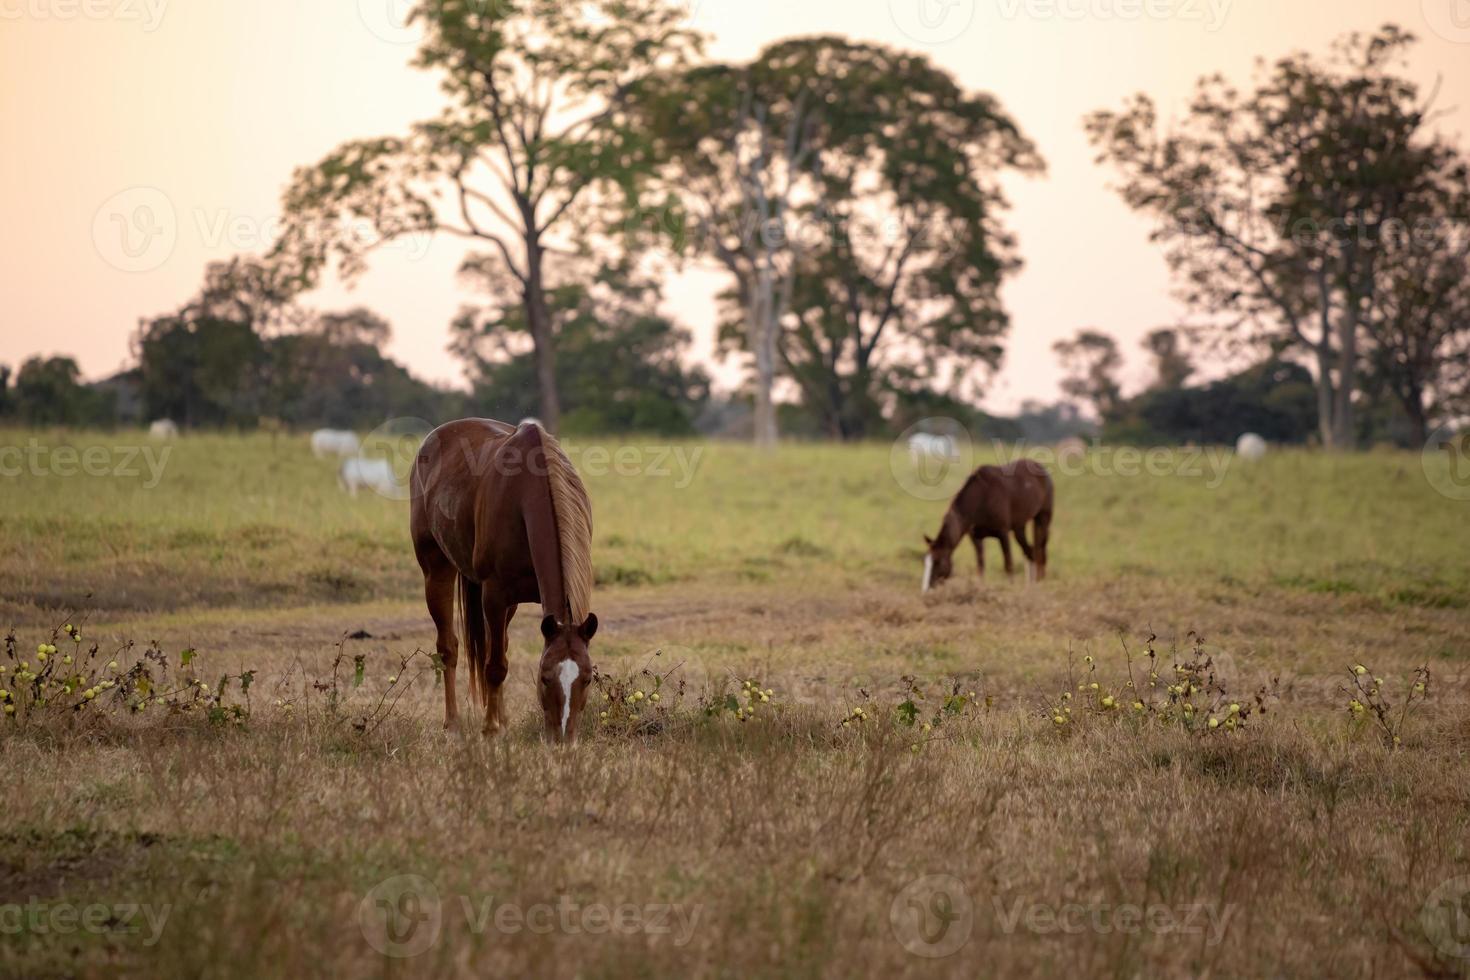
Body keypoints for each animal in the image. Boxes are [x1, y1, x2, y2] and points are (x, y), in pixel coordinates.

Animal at [408, 417, 596, 743]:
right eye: (544, 678)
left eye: (587, 679)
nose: (562, 739)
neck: (527, 494)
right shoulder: (494, 595)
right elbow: (494, 666)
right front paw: (490, 729)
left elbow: (500, 656)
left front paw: (500, 723)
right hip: (436, 570)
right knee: (449, 649)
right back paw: (453, 724)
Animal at [923, 461, 1052, 590]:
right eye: (926, 562)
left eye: (938, 562)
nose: (926, 589)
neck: (981, 498)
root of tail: (1041, 468)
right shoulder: (976, 538)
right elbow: (980, 566)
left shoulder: (1003, 533)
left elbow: (1008, 564)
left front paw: (1010, 588)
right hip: (1019, 528)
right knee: (1030, 552)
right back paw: (1031, 584)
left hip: (1043, 519)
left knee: (1041, 552)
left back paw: (1040, 582)